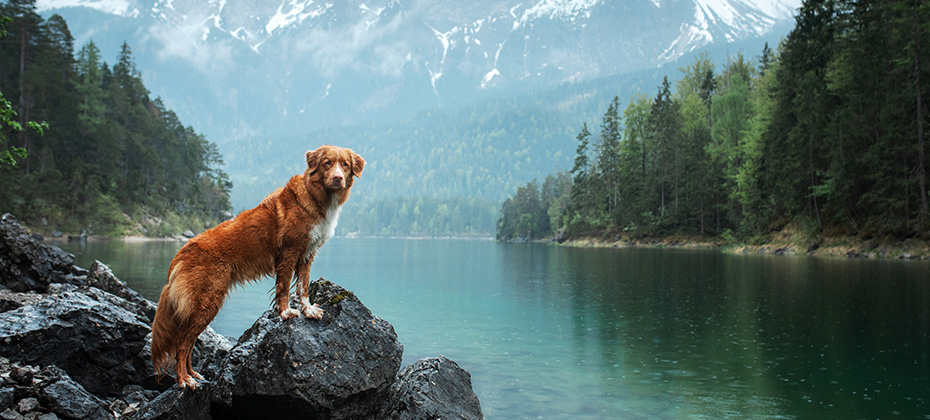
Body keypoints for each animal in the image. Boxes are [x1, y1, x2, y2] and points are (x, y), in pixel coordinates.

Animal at [150, 144, 362, 388]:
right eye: (327, 163)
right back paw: (185, 381)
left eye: (344, 164)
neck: (316, 197)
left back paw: (194, 374)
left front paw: (308, 311)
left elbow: (303, 287)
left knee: (189, 342)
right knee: (182, 344)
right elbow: (284, 287)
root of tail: (179, 255)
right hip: (207, 302)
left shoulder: (307, 255)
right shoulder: (289, 252)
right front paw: (286, 313)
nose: (338, 178)